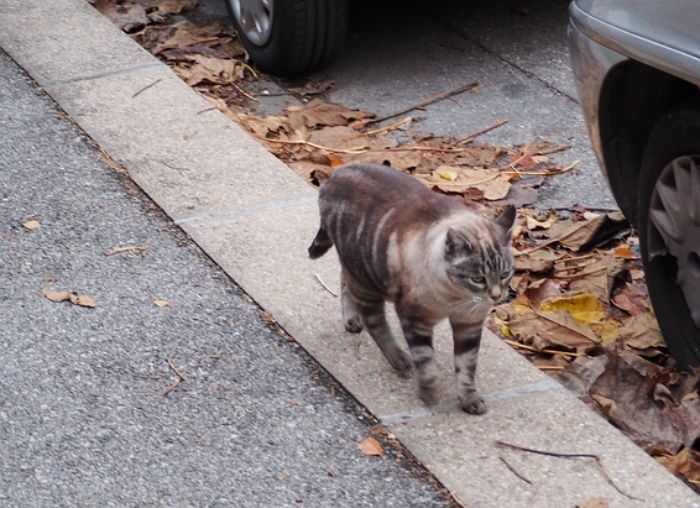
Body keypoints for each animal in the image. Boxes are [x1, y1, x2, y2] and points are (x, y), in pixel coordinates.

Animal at [308, 163, 516, 412]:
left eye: (505, 274)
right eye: (477, 278)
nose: (496, 296)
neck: (455, 299)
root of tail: (337, 173)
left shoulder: (469, 324)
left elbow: (466, 366)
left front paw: (469, 399)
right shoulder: (415, 320)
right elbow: (425, 362)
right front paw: (429, 394)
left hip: (359, 273)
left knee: (344, 279)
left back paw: (352, 319)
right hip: (366, 282)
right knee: (376, 324)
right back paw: (398, 359)